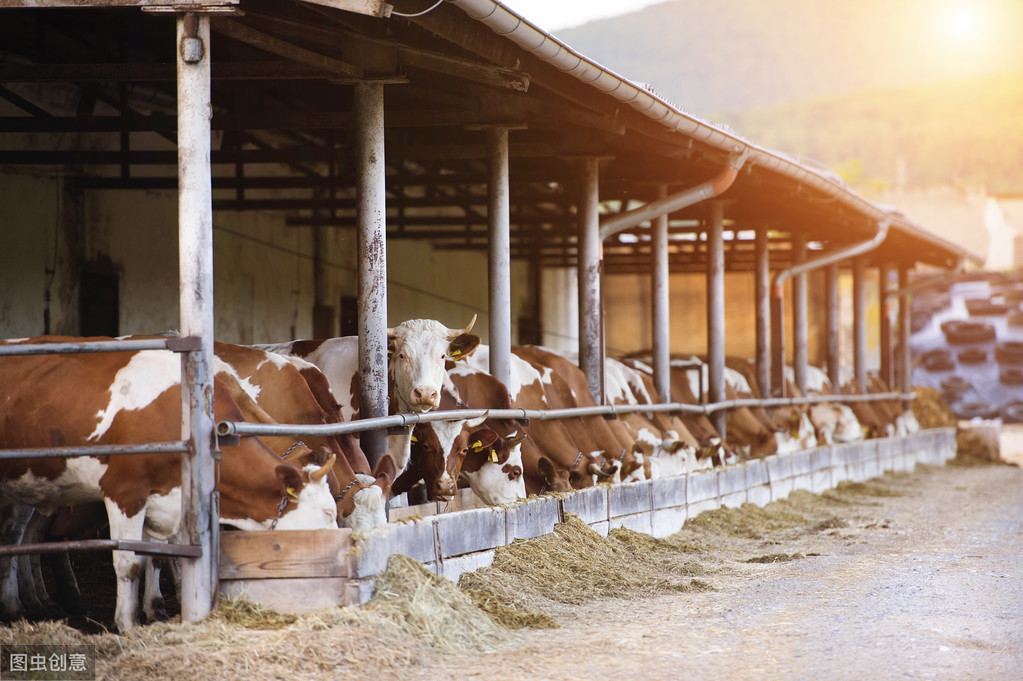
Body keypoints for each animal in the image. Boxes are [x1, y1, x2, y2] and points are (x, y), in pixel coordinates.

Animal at [0, 337, 337, 629]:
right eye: (328, 513)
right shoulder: (125, 492)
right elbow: (130, 562)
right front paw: (128, 623)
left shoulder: (166, 503)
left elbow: (157, 555)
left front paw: (155, 608)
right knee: (20, 536)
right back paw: (21, 606)